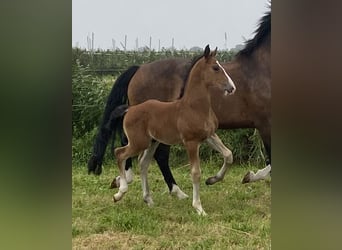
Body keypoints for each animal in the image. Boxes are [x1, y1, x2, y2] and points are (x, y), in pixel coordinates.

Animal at [89, 11, 272, 193]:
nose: (232, 87)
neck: (259, 70)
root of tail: (139, 69)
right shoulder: (265, 124)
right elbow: (270, 161)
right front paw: (249, 176)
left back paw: (124, 180)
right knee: (155, 153)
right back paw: (171, 189)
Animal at [107, 45, 235, 215]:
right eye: (215, 68)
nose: (232, 87)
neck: (194, 106)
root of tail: (129, 109)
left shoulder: (209, 136)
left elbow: (228, 155)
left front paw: (212, 180)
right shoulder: (191, 142)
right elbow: (195, 173)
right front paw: (199, 208)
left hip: (152, 142)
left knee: (143, 163)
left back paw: (148, 199)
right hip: (138, 143)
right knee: (119, 153)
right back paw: (120, 193)